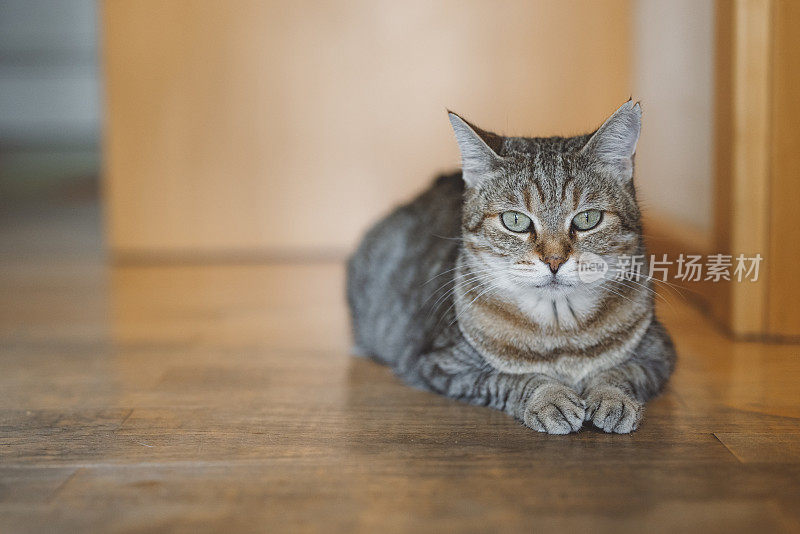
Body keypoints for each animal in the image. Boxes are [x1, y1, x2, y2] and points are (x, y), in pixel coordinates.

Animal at [346, 101, 676, 436]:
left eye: (588, 219)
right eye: (515, 221)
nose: (554, 260)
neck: (560, 335)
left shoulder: (658, 354)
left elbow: (621, 373)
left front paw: (612, 398)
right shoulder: (442, 366)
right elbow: (514, 379)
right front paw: (550, 396)